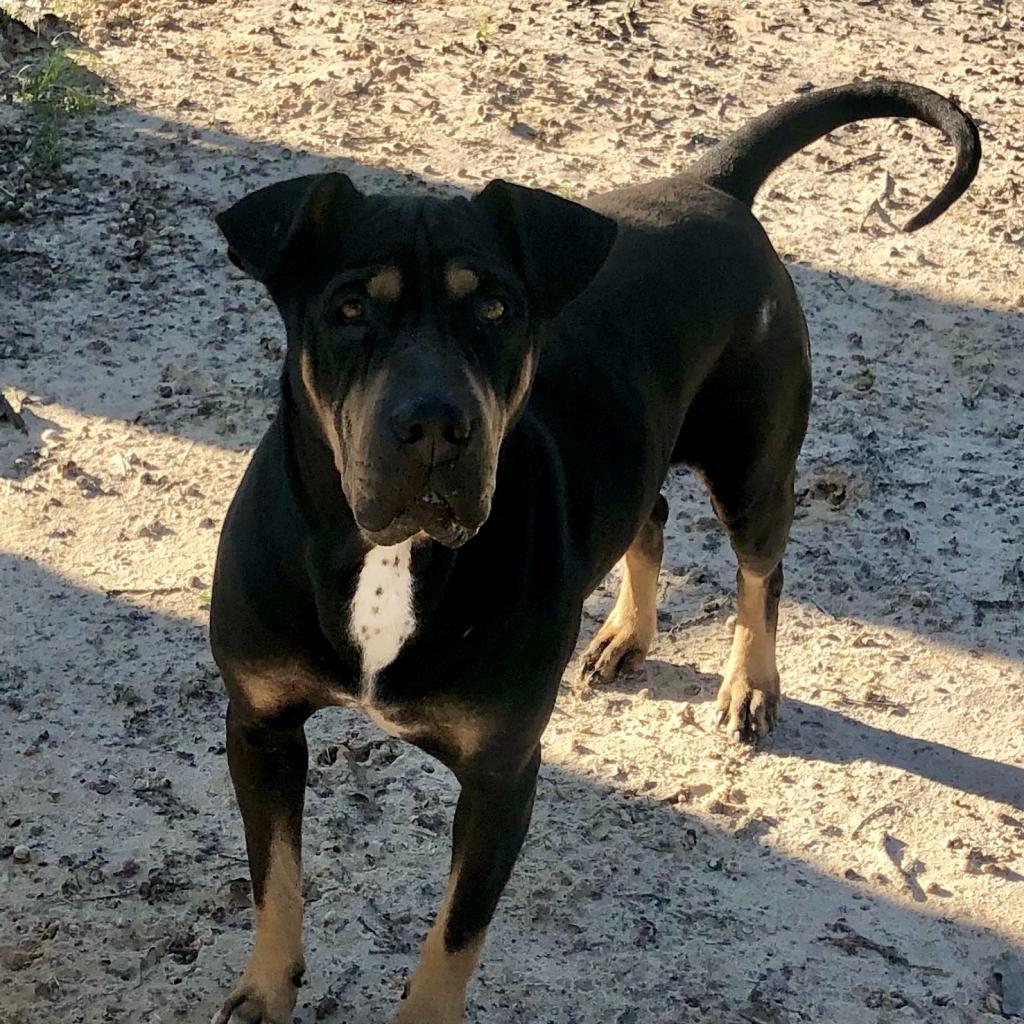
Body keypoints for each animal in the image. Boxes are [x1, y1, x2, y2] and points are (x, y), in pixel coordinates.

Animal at [205, 79, 974, 1024]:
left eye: (494, 308)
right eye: (349, 310)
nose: (435, 426)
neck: (392, 557)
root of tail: (712, 186)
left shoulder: (501, 776)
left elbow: (453, 937)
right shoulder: (262, 726)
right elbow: (274, 878)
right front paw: (264, 990)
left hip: (753, 466)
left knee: (762, 568)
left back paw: (749, 684)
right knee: (652, 512)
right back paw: (623, 635)